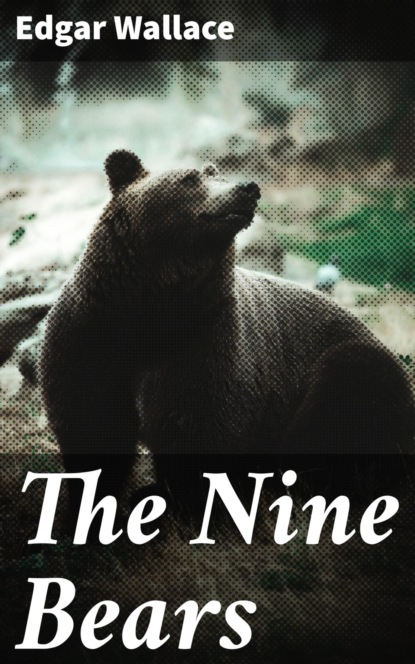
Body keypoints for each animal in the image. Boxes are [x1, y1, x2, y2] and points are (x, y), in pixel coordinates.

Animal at [40, 149, 415, 523]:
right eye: (190, 178)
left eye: (215, 173)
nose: (248, 189)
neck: (152, 306)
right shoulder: (93, 333)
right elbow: (92, 423)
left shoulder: (204, 341)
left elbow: (197, 426)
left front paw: (177, 502)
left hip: (350, 368)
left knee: (346, 397)